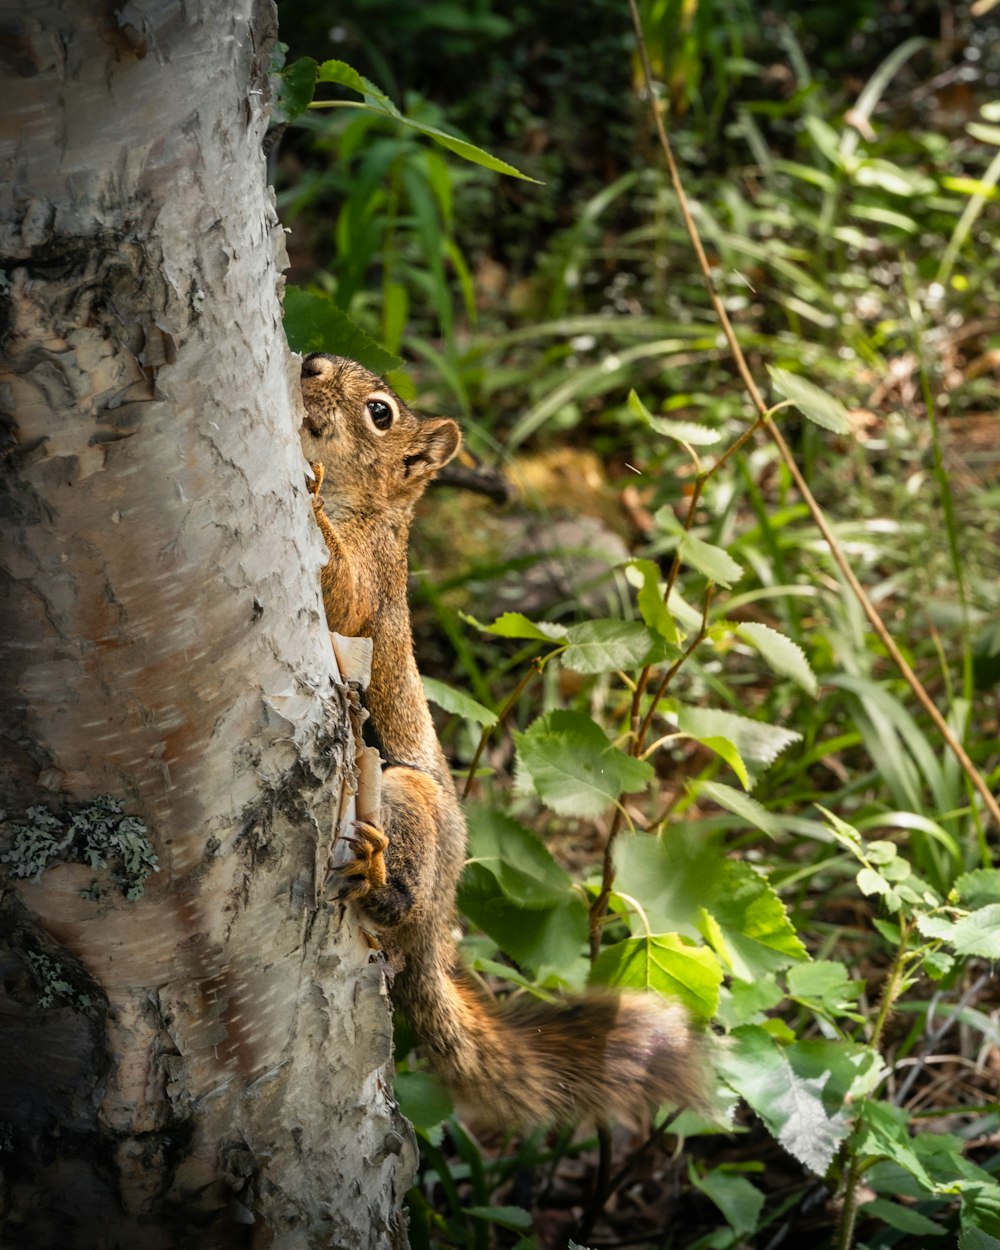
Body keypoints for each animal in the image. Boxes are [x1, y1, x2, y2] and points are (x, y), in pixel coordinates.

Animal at [297, 355, 705, 1135]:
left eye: (380, 412)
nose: (310, 363)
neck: (370, 507)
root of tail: (439, 932)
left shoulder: (371, 578)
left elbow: (344, 594)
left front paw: (305, 495)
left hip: (404, 800)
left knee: (399, 903)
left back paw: (379, 881)